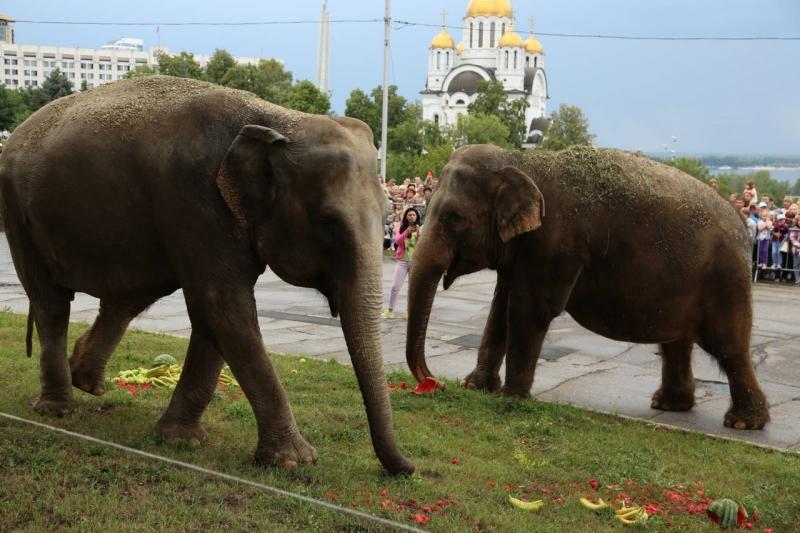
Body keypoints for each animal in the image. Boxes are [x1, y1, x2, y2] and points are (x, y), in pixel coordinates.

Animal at [0, 75, 412, 474]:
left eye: (388, 211)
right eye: (328, 222)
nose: (407, 469)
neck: (277, 119)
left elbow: (212, 315)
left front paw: (178, 440)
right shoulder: (195, 201)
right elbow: (224, 306)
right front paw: (295, 460)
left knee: (129, 295)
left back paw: (87, 380)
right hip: (18, 214)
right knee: (52, 305)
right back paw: (57, 408)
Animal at [406, 143, 768, 430]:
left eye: (454, 217)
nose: (434, 383)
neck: (523, 161)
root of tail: (742, 228)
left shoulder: (555, 246)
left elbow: (528, 310)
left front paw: (511, 398)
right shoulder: (522, 250)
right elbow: (499, 308)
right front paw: (476, 387)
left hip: (726, 279)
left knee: (728, 346)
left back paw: (742, 423)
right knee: (676, 343)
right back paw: (669, 405)